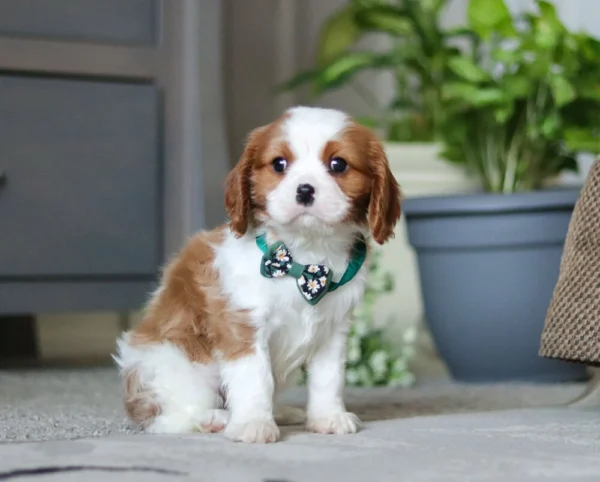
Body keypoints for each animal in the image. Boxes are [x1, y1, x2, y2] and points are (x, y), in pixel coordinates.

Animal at [113, 105, 404, 444]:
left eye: (338, 164)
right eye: (279, 164)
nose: (305, 190)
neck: (304, 260)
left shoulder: (333, 331)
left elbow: (328, 378)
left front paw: (328, 418)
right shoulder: (243, 326)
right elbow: (255, 378)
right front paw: (253, 423)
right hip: (177, 364)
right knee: (165, 418)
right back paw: (215, 419)